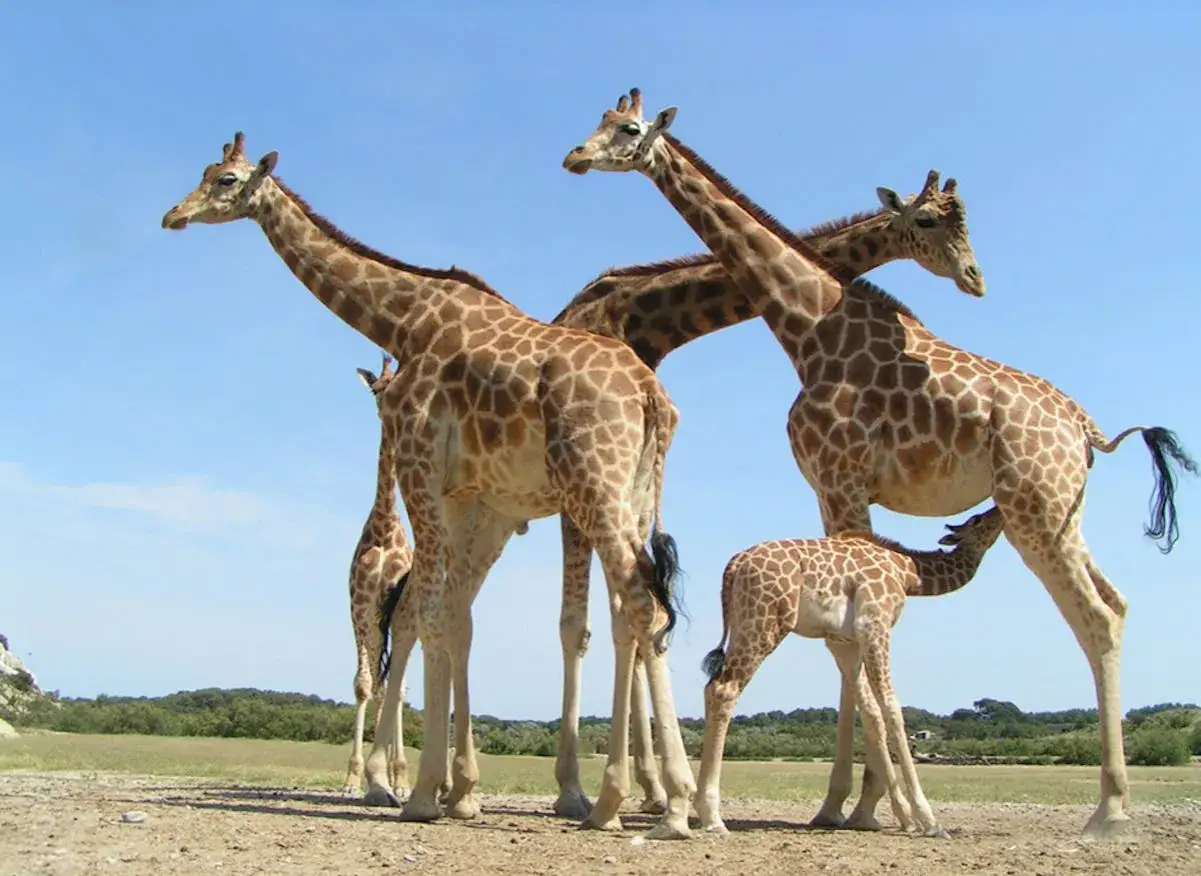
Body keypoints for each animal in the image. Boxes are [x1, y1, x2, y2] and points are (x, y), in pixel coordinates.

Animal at [161, 132, 697, 839]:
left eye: (224, 180)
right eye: (203, 173)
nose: (173, 216)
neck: (402, 317)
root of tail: (651, 395)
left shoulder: (421, 469)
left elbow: (436, 615)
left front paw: (422, 793)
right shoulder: (466, 496)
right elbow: (456, 620)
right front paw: (457, 791)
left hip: (594, 487)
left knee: (639, 604)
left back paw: (641, 803)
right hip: (633, 495)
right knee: (639, 611)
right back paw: (658, 801)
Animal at [545, 168, 984, 819]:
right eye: (927, 219)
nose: (974, 277)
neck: (639, 317)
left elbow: (638, 616)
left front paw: (653, 788)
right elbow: (582, 625)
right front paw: (578, 789)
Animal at [694, 504, 1007, 838]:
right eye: (977, 520)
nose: (998, 510)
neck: (908, 572)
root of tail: (733, 566)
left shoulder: (845, 641)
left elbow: (870, 713)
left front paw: (901, 816)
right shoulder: (874, 622)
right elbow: (891, 708)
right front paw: (928, 821)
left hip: (744, 623)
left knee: (711, 686)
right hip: (766, 622)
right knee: (725, 689)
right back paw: (712, 817)